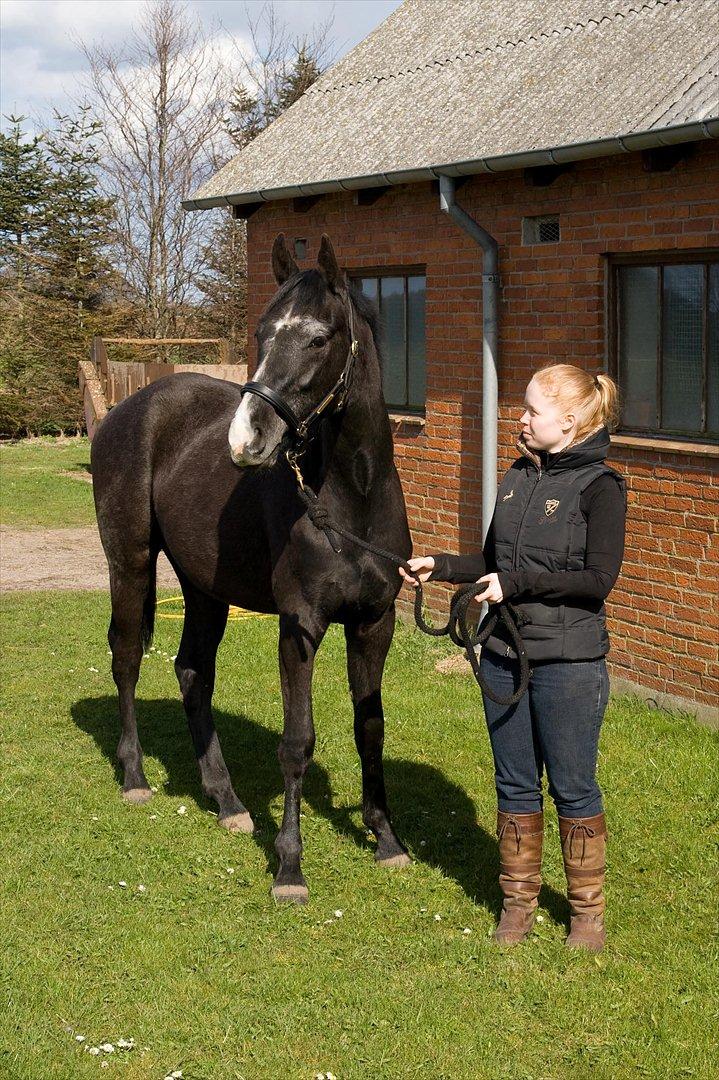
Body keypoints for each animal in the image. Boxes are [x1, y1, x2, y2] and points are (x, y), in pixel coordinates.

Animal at [92, 234, 412, 902]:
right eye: (262, 332)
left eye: (318, 337)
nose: (246, 440)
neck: (352, 501)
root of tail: (129, 408)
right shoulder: (300, 626)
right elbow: (297, 742)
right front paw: (289, 868)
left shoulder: (375, 623)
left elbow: (370, 728)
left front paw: (387, 840)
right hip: (129, 564)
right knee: (127, 656)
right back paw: (134, 776)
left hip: (204, 588)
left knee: (192, 671)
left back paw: (227, 801)